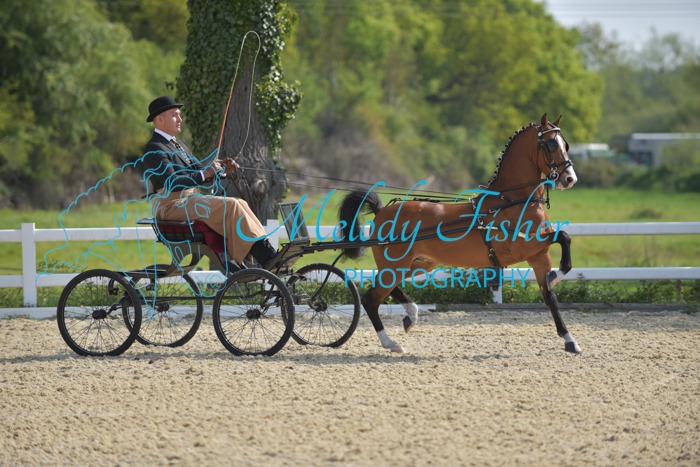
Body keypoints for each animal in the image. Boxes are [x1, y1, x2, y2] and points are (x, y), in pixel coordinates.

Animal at [338, 114, 581, 354]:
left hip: (418, 264)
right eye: (551, 144)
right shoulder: (523, 246)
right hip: (396, 265)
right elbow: (564, 237)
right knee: (371, 299)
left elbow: (550, 297)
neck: (512, 201)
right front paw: (556, 275)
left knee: (385, 289)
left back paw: (411, 316)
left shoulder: (539, 255)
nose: (570, 179)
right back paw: (391, 343)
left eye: (566, 144)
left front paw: (570, 340)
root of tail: (381, 211)